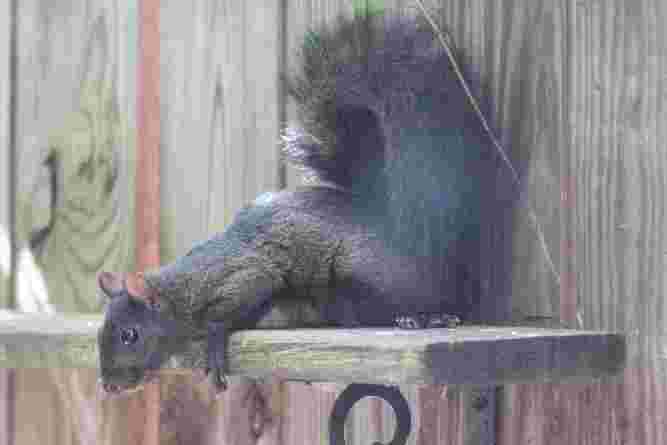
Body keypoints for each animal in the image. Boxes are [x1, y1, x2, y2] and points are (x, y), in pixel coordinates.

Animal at [97, 11, 492, 395]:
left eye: (130, 335)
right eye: (102, 332)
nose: (109, 385)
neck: (183, 290)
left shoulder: (247, 275)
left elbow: (228, 310)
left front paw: (214, 341)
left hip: (359, 282)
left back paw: (425, 316)